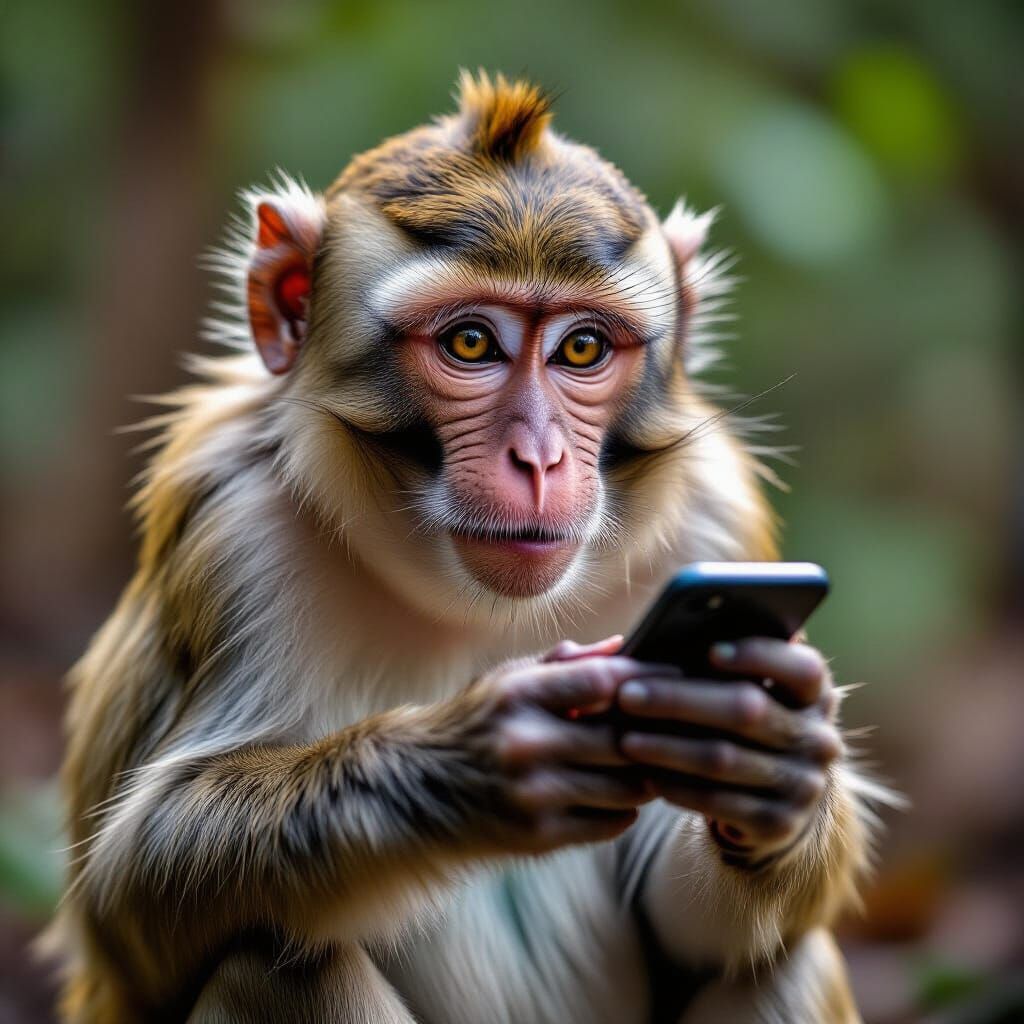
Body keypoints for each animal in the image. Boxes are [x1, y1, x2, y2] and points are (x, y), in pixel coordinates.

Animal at [48, 72, 885, 1023]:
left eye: (583, 348)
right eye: (471, 342)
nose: (541, 458)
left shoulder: (715, 519)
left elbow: (701, 935)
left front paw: (778, 764)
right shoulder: (230, 527)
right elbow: (130, 901)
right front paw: (473, 762)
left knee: (779, 962)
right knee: (275, 961)